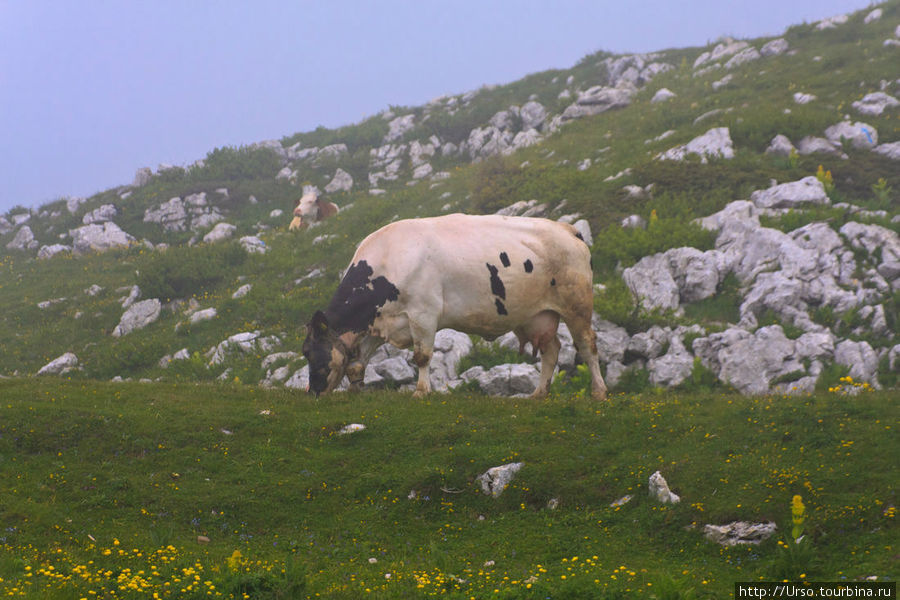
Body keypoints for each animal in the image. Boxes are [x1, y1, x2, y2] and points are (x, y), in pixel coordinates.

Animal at [306, 213, 608, 400]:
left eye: (312, 353)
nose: (313, 393)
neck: (387, 260)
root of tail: (568, 229)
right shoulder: (381, 321)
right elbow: (357, 363)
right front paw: (355, 391)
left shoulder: (423, 314)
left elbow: (422, 356)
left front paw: (421, 391)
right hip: (537, 316)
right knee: (551, 350)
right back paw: (538, 394)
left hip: (577, 305)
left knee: (587, 344)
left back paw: (599, 392)